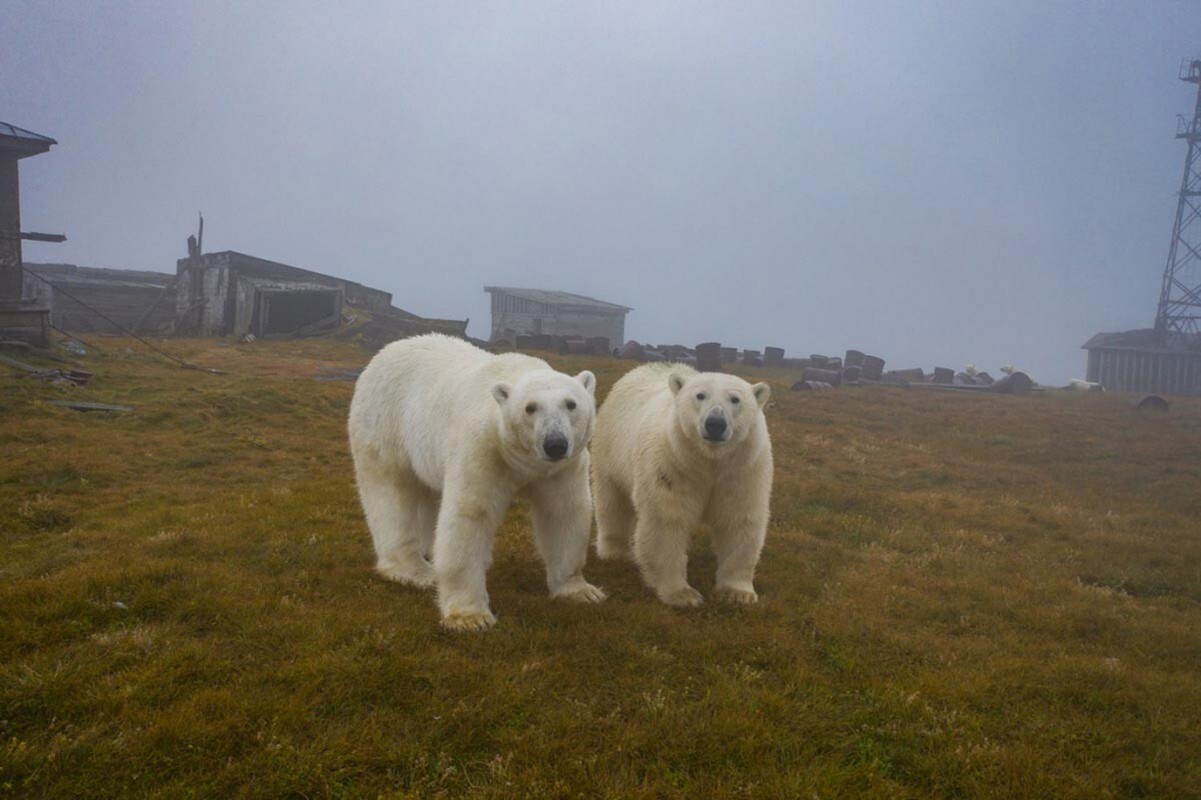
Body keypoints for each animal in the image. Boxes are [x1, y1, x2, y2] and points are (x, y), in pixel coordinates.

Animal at [350, 331, 610, 629]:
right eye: (530, 408)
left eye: (571, 404)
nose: (555, 443)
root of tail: (385, 352)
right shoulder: (483, 448)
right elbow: (470, 514)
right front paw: (470, 617)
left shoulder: (562, 468)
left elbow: (564, 513)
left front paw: (580, 591)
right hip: (384, 424)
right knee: (391, 493)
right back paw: (415, 570)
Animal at [588, 360, 768, 605]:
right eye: (700, 395)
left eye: (735, 399)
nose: (715, 423)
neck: (709, 459)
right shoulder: (672, 463)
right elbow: (666, 521)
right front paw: (682, 594)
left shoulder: (742, 469)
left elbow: (739, 519)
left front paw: (738, 593)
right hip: (610, 446)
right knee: (612, 502)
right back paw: (614, 551)